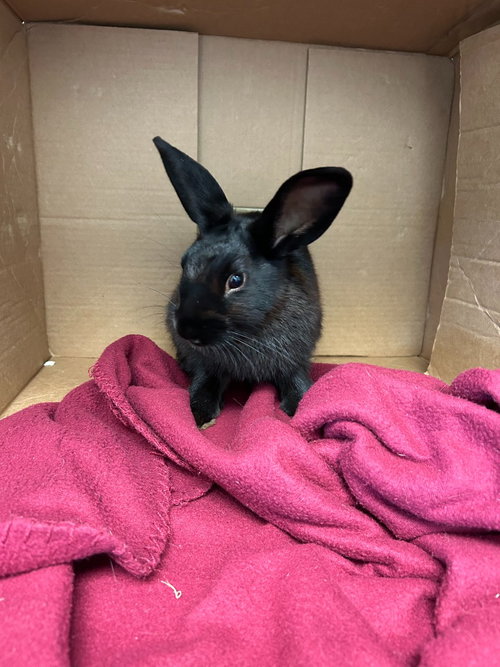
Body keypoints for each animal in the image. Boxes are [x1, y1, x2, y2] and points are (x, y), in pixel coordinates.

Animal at [153, 137, 352, 427]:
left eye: (236, 280)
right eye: (184, 264)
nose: (186, 330)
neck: (247, 335)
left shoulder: (295, 361)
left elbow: (298, 385)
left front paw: (297, 413)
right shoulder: (206, 365)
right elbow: (205, 380)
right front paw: (200, 415)